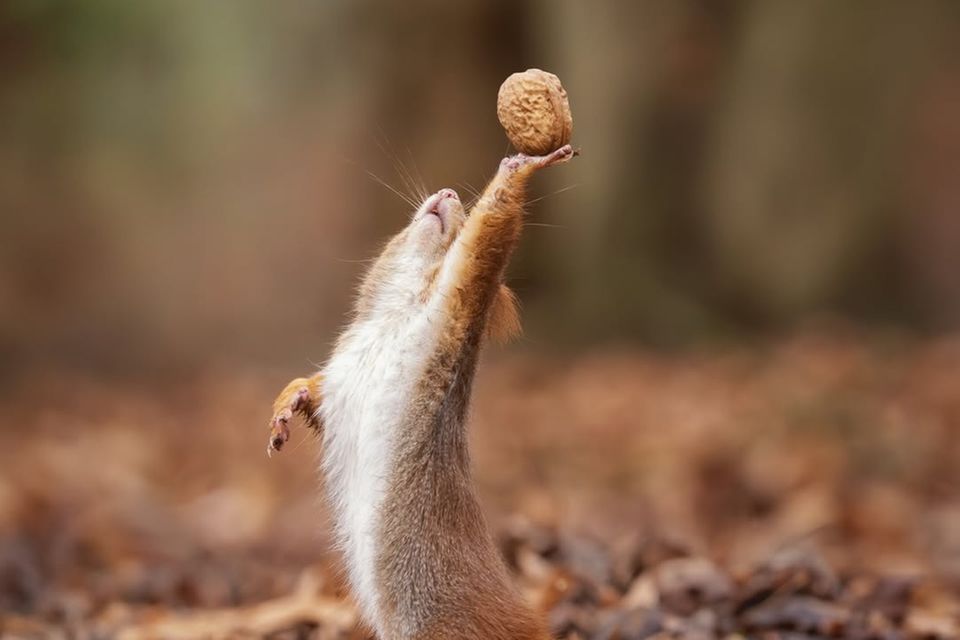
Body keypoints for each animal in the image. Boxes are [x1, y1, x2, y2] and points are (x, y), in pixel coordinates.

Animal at [266, 145, 572, 640]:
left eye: (463, 219)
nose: (448, 192)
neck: (391, 317)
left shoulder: (451, 312)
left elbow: (484, 250)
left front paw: (520, 168)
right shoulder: (340, 375)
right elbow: (313, 392)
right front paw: (285, 407)